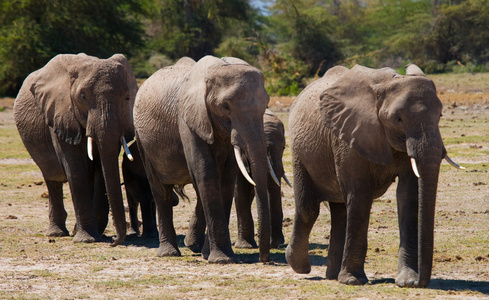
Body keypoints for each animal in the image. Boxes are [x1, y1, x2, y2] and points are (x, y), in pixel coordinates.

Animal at [14, 53, 136, 246]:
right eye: (83, 96)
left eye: (127, 97)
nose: (114, 240)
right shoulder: (60, 113)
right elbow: (74, 167)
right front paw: (86, 239)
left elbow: (101, 166)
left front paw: (94, 235)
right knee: (52, 177)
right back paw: (57, 233)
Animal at [133, 55, 270, 262]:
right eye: (225, 106)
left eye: (265, 105)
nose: (264, 259)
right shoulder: (188, 119)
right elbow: (206, 173)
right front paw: (222, 260)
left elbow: (226, 180)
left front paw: (210, 255)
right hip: (141, 138)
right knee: (160, 190)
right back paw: (169, 253)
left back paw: (194, 246)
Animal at [284, 63, 464, 288]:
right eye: (398, 119)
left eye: (440, 116)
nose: (419, 283)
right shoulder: (349, 136)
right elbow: (360, 193)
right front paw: (353, 281)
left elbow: (408, 195)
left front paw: (406, 280)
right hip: (300, 151)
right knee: (309, 208)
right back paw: (299, 265)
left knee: (340, 210)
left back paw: (332, 275)